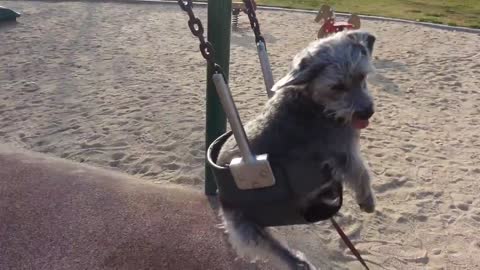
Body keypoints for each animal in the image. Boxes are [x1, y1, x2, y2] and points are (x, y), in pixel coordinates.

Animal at [216, 30, 376, 270]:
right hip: (248, 229)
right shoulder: (341, 151)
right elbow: (361, 172)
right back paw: (297, 261)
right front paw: (367, 199)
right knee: (273, 249)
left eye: (362, 77)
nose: (367, 112)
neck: (313, 101)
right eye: (337, 87)